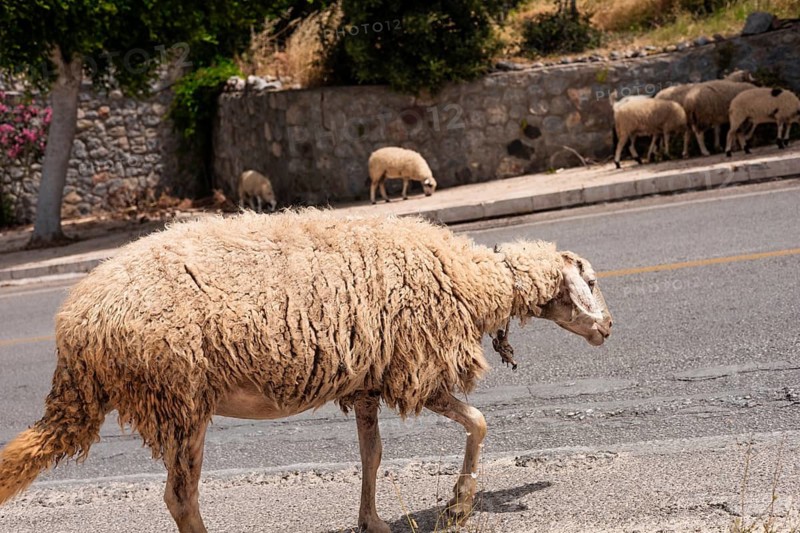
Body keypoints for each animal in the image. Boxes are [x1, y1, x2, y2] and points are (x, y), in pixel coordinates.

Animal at [0, 210, 612, 533]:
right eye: (591, 280)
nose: (608, 328)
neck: (477, 280)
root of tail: (76, 326)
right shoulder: (415, 371)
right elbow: (480, 422)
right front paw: (459, 503)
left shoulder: (367, 382)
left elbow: (372, 456)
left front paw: (373, 522)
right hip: (179, 398)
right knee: (180, 496)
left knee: (180, 494)